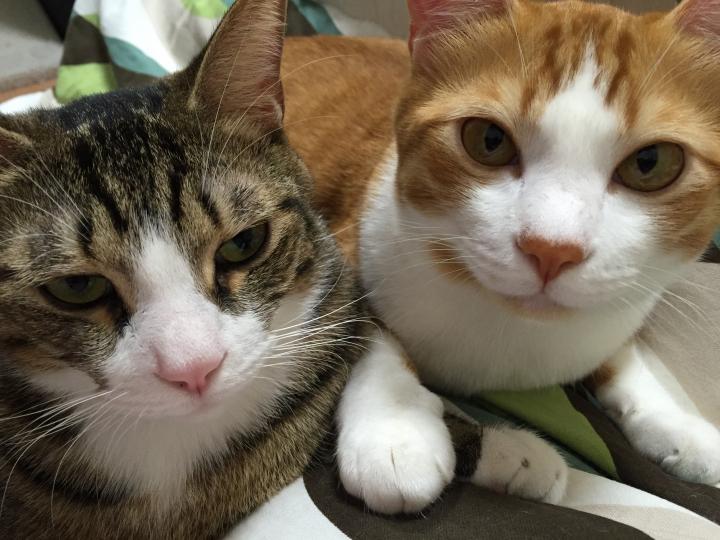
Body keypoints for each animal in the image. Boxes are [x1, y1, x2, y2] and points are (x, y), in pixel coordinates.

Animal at [283, 0, 720, 514]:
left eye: (650, 163)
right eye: (488, 140)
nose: (552, 249)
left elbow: (622, 354)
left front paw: (679, 424)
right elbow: (364, 329)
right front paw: (394, 425)